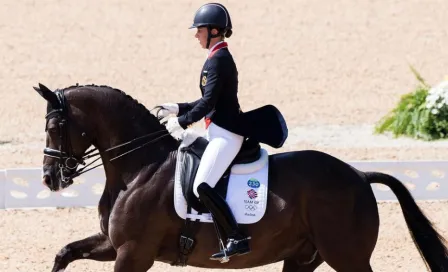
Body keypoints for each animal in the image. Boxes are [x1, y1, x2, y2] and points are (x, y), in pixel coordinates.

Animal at [32, 83, 448, 272]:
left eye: (54, 127)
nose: (51, 178)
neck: (138, 169)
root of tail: (360, 175)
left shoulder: (134, 252)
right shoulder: (113, 244)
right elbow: (64, 252)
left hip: (347, 255)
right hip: (303, 258)